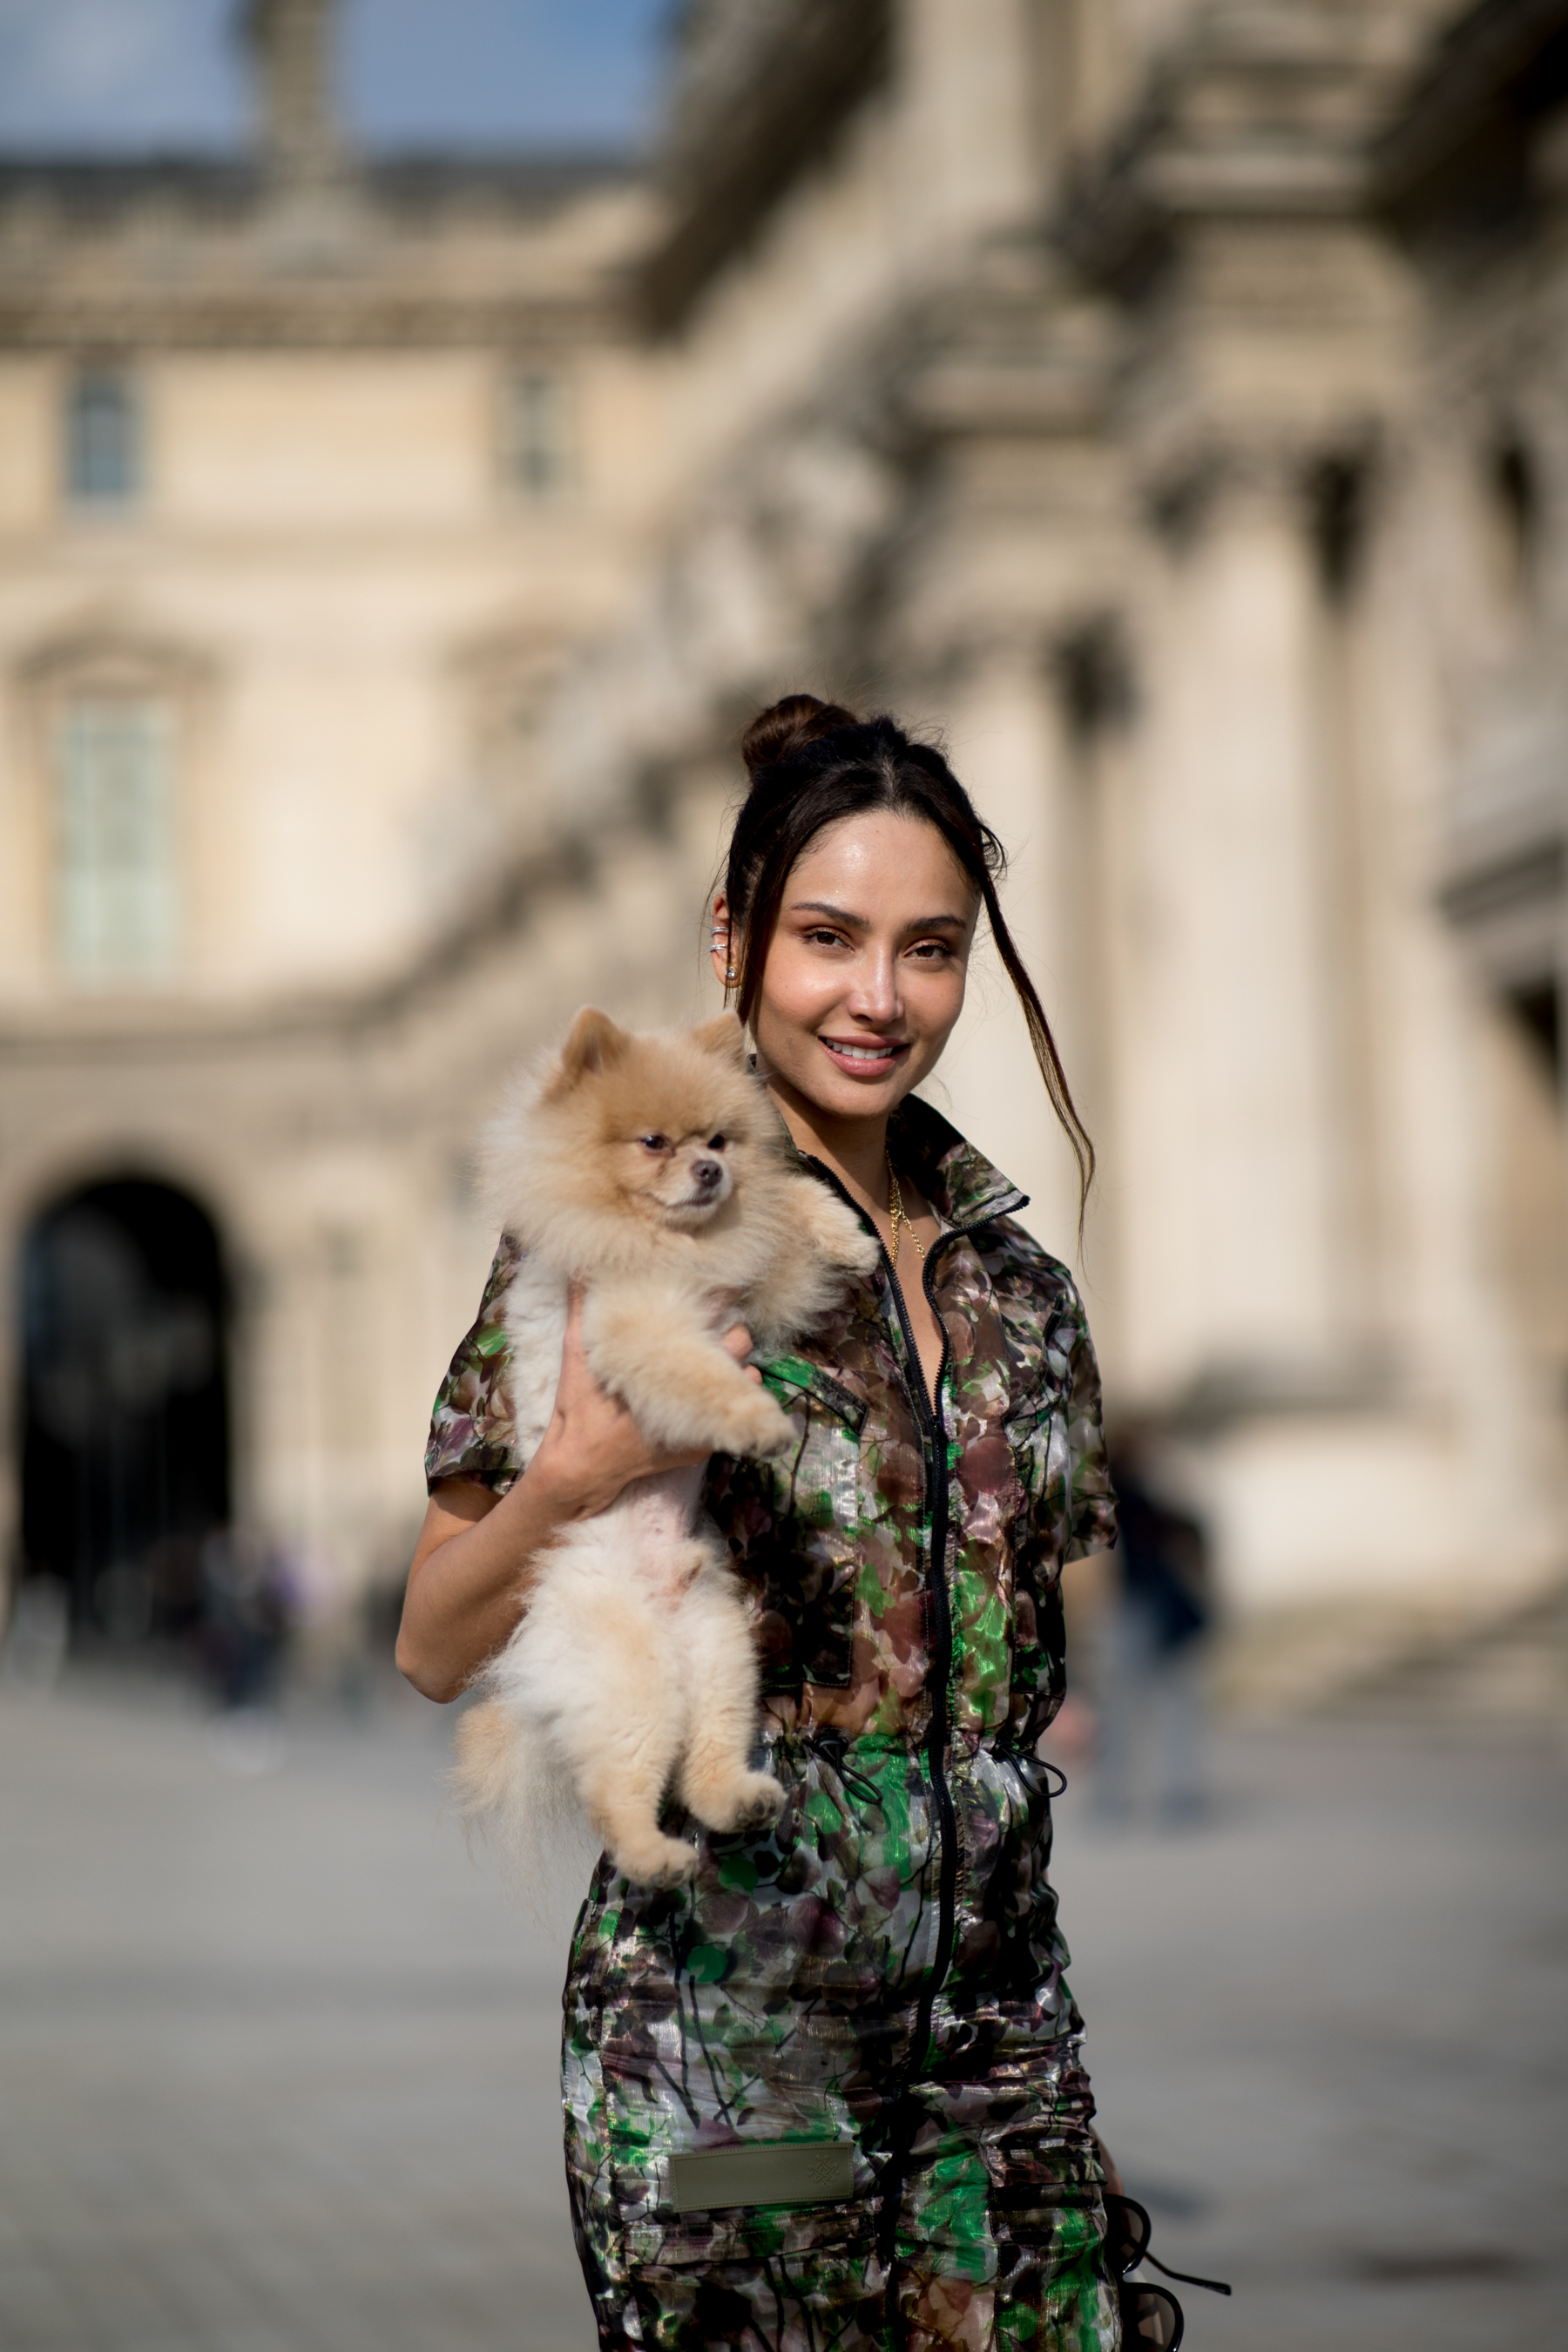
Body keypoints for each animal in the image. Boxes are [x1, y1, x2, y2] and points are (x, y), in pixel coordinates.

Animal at [453, 1011, 883, 1890]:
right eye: (653, 1142)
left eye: (719, 1138)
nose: (712, 1169)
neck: (667, 1242)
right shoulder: (639, 1329)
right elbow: (700, 1376)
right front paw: (757, 1423)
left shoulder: (744, 1282)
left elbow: (788, 1200)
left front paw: (850, 1240)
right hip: (635, 1683)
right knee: (618, 1795)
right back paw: (657, 1857)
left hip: (722, 1653)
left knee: (704, 1760)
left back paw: (738, 1801)